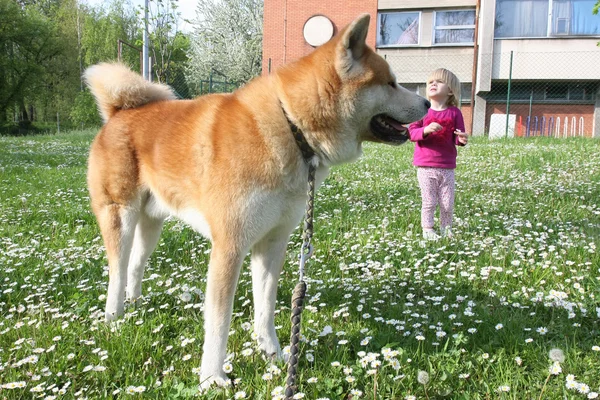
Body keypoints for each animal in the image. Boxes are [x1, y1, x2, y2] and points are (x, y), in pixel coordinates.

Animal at [85, 13, 432, 390]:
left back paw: (135, 305)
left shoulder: (272, 242)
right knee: (117, 270)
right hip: (120, 215)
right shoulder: (230, 246)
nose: (429, 103)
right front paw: (213, 376)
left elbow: (265, 307)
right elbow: (218, 323)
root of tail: (119, 112)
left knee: (135, 264)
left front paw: (275, 354)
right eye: (391, 83)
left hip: (152, 223)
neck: (292, 126)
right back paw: (114, 316)